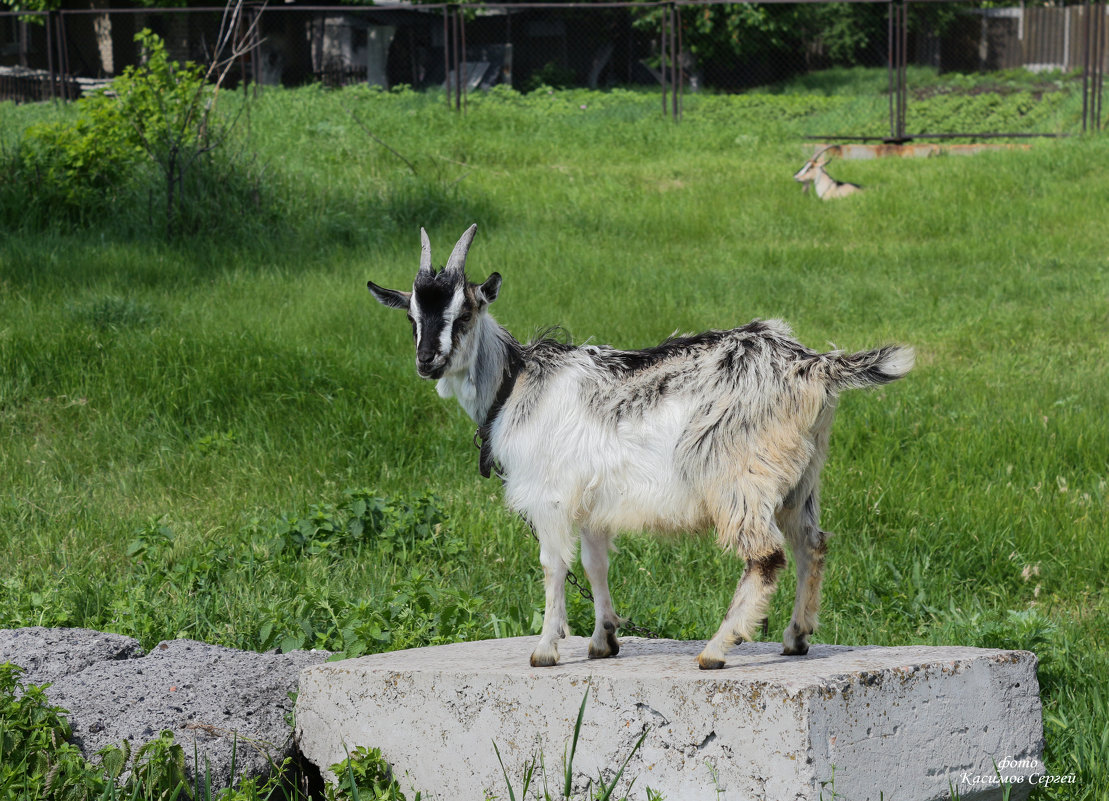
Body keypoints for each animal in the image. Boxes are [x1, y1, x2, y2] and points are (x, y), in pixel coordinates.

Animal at [368, 224, 913, 665]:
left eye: (464, 313)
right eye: (412, 317)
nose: (427, 360)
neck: (515, 383)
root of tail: (812, 364)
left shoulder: (550, 496)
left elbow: (553, 565)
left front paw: (545, 648)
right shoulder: (591, 500)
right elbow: (595, 564)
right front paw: (603, 640)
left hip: (738, 475)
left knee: (766, 556)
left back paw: (718, 648)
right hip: (801, 477)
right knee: (811, 544)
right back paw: (796, 637)